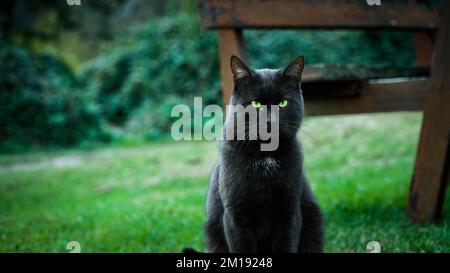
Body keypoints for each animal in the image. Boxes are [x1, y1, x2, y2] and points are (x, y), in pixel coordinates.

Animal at [204, 55, 324, 253]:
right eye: (255, 104)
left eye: (283, 103)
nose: (270, 121)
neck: (264, 156)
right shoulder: (235, 217)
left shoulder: (289, 213)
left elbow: (286, 245)